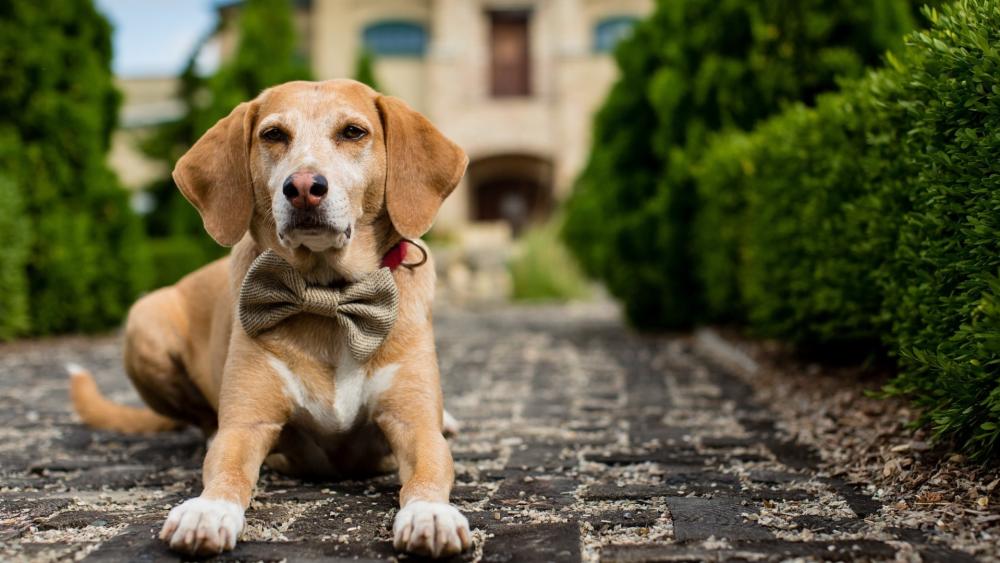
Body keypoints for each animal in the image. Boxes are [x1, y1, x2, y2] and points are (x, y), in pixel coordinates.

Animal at [69, 79, 472, 560]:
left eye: (353, 132)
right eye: (273, 135)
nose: (303, 186)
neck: (327, 296)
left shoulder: (414, 425)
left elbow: (429, 470)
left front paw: (430, 514)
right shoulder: (247, 425)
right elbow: (227, 469)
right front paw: (208, 511)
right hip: (146, 319)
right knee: (204, 422)